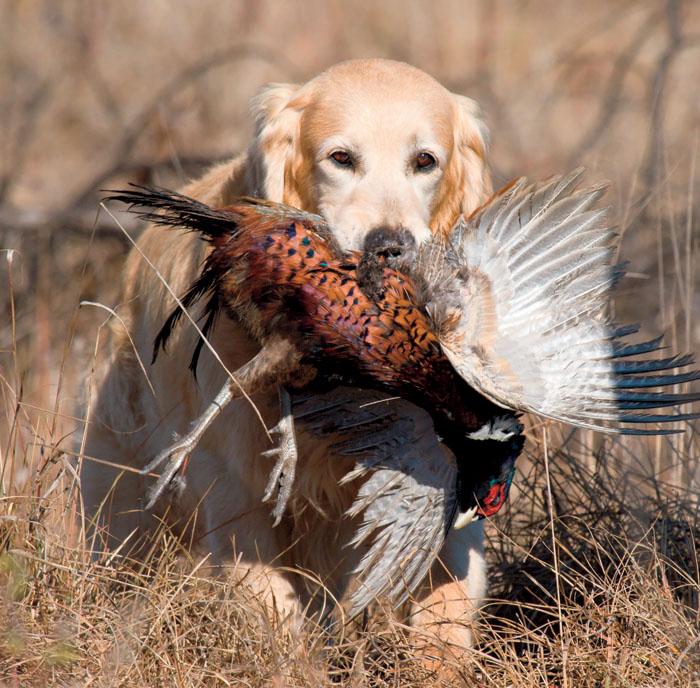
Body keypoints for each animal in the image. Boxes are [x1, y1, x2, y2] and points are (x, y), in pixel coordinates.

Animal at [82, 57, 494, 652]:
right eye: (340, 158)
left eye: (425, 160)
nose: (389, 246)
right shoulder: (235, 499)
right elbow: (275, 618)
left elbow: (445, 619)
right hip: (120, 505)